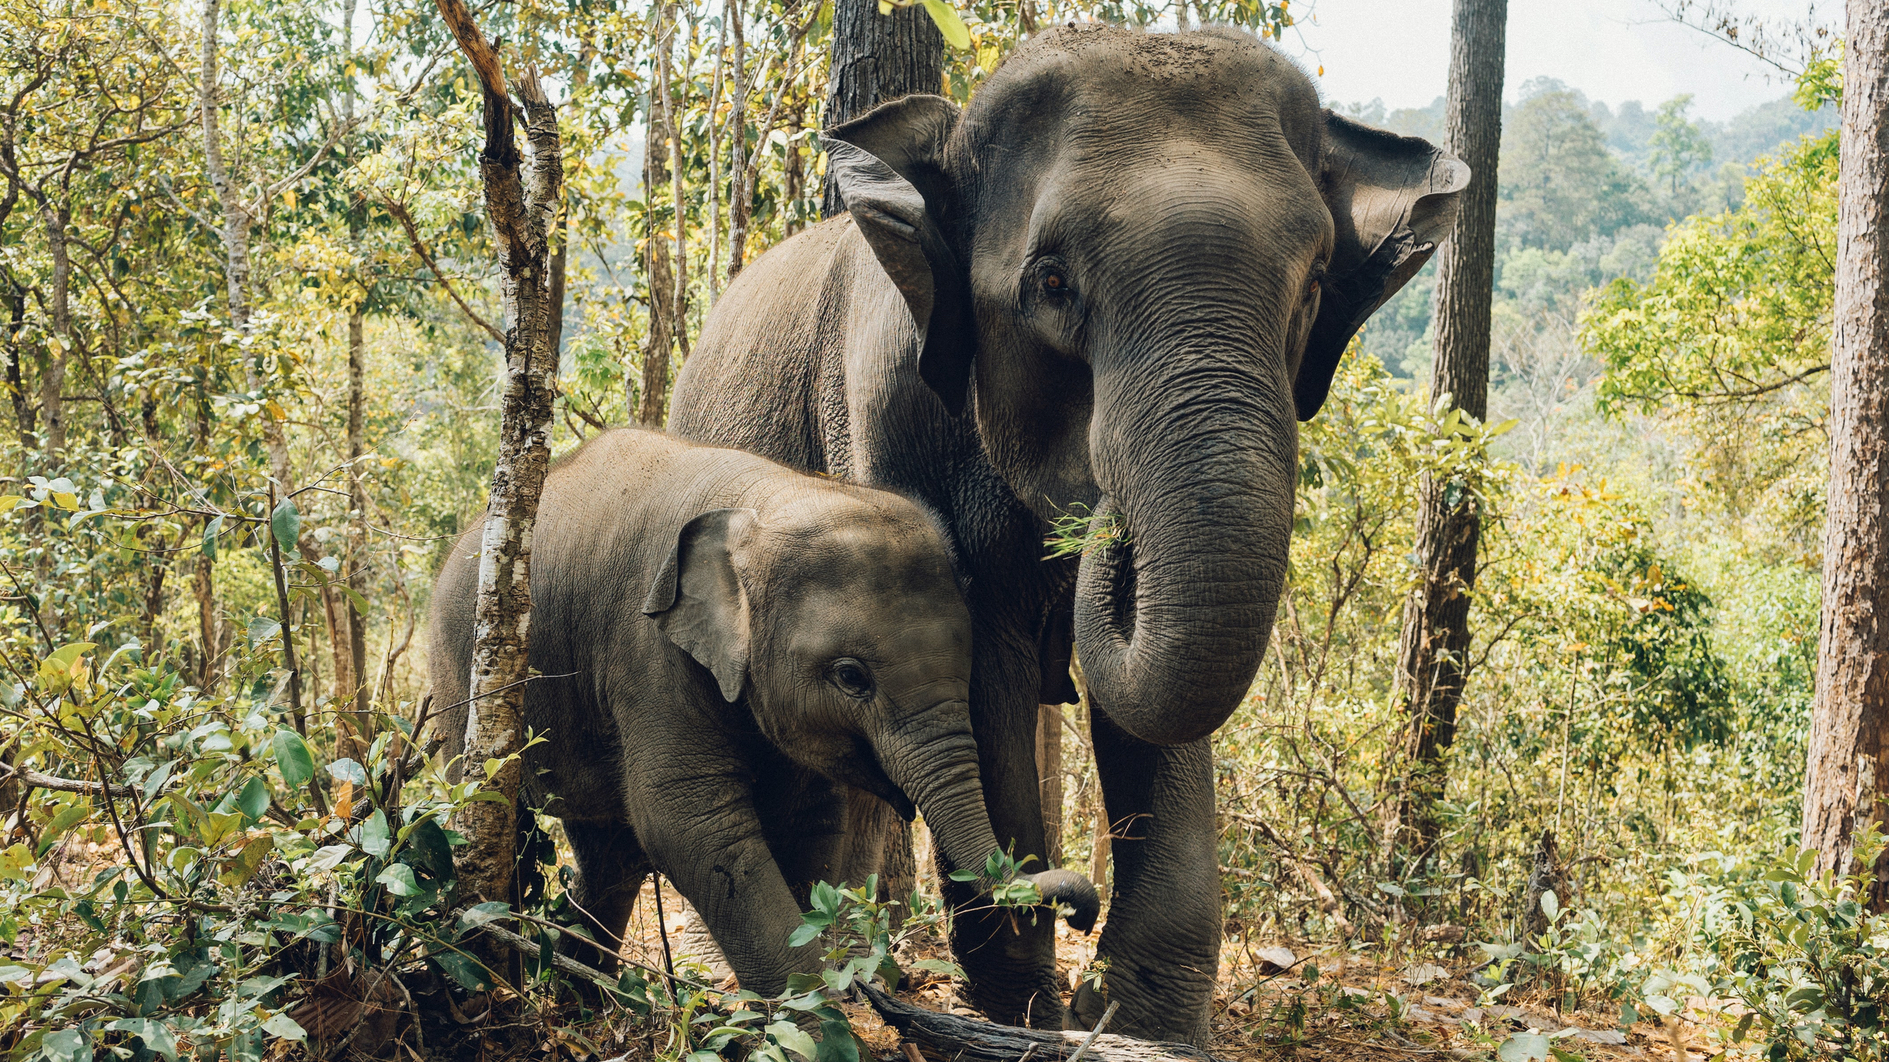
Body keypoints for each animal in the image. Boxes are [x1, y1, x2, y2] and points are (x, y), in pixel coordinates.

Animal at [429, 428, 1099, 997]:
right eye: (851, 677)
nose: (1082, 912)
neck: (765, 499)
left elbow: (809, 821)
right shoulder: (649, 651)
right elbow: (689, 821)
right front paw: (817, 1017)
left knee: (610, 855)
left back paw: (583, 1000)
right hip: (462, 679)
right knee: (502, 820)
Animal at [667, 23, 1467, 1043]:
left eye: (1315, 285)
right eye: (1050, 283)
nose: (1104, 520)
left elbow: (1155, 703)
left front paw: (1137, 1023)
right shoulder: (888, 416)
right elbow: (985, 670)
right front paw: (1031, 1015)